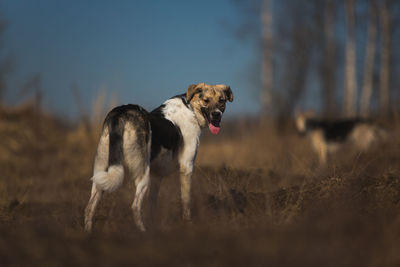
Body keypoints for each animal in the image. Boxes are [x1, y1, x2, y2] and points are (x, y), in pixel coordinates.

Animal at [85, 83, 234, 232]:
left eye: (221, 101)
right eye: (206, 100)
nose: (216, 115)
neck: (190, 107)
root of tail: (121, 112)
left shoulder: (157, 177)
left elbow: (152, 206)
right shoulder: (187, 167)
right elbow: (186, 201)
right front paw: (188, 224)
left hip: (101, 174)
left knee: (89, 207)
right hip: (143, 174)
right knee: (135, 206)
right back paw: (143, 232)